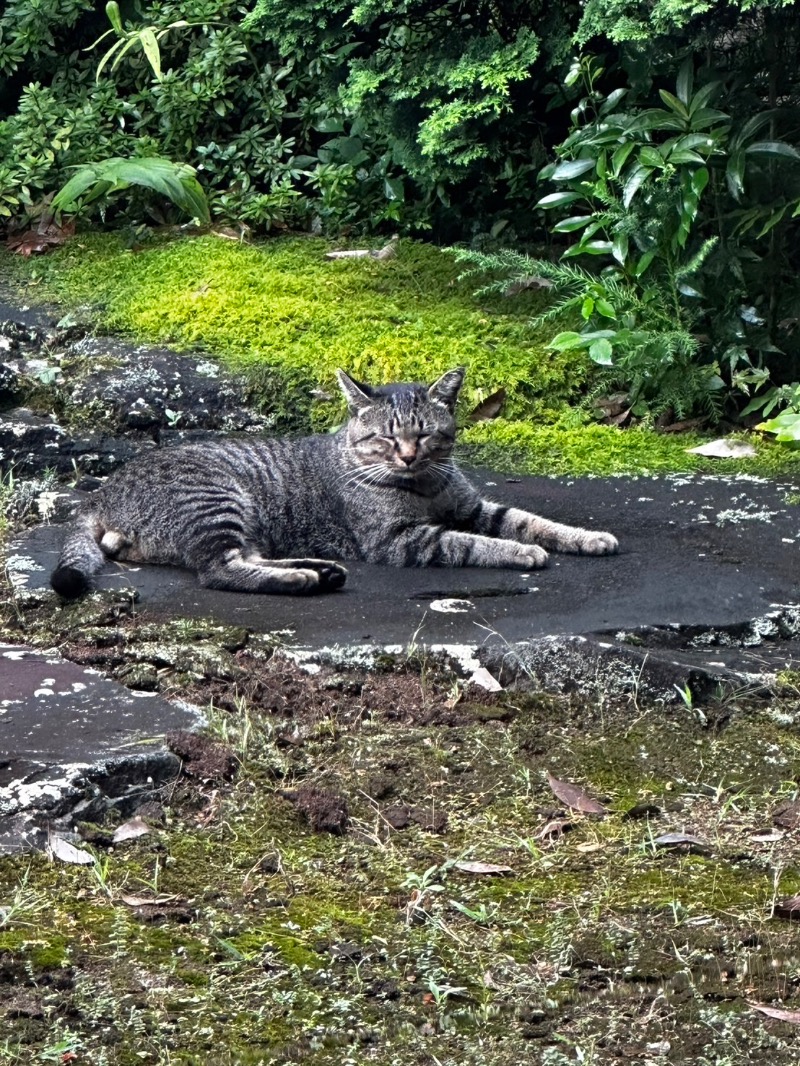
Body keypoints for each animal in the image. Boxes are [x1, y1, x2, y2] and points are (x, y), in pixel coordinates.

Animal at [51, 368, 618, 601]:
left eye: (424, 434)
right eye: (387, 438)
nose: (408, 456)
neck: (424, 486)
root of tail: (101, 493)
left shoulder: (474, 507)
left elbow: (532, 520)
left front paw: (588, 537)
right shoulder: (401, 541)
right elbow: (474, 544)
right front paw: (521, 554)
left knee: (246, 558)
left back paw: (321, 570)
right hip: (217, 501)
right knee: (218, 570)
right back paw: (303, 579)